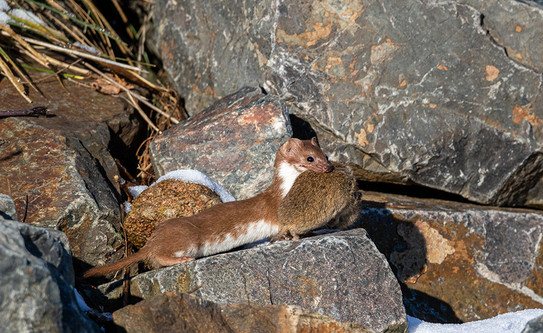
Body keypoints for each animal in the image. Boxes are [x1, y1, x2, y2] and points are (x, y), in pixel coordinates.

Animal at [84, 136, 332, 276]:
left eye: (326, 155)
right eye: (310, 158)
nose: (329, 168)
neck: (287, 189)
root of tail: (154, 238)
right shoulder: (279, 210)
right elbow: (285, 227)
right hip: (187, 239)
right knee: (161, 255)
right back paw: (183, 259)